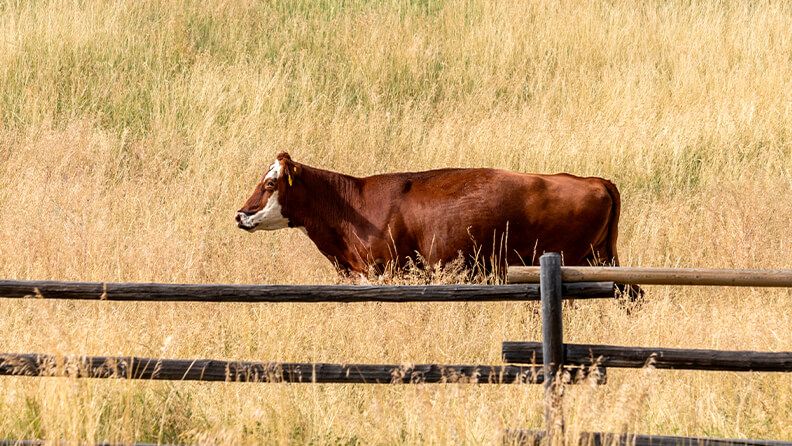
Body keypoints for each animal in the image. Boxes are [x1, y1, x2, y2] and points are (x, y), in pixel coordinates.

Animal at [235, 152, 644, 300]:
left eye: (269, 183)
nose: (240, 215)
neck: (355, 203)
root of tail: (594, 180)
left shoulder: (387, 272)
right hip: (603, 259)